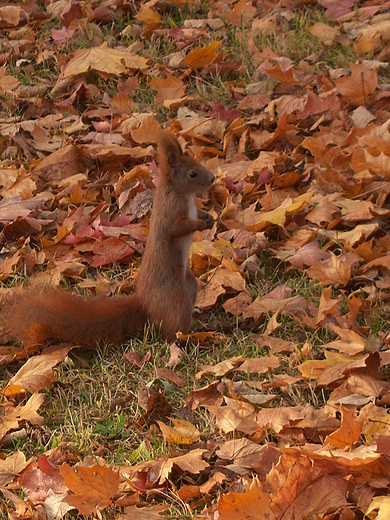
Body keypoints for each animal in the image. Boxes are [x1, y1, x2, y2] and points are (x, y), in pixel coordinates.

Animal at [3, 131, 215, 346]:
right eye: (192, 174)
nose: (213, 178)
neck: (183, 194)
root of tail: (144, 301)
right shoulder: (169, 210)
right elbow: (175, 228)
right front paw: (200, 224)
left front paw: (207, 217)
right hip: (174, 298)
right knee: (172, 329)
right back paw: (187, 339)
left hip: (190, 286)